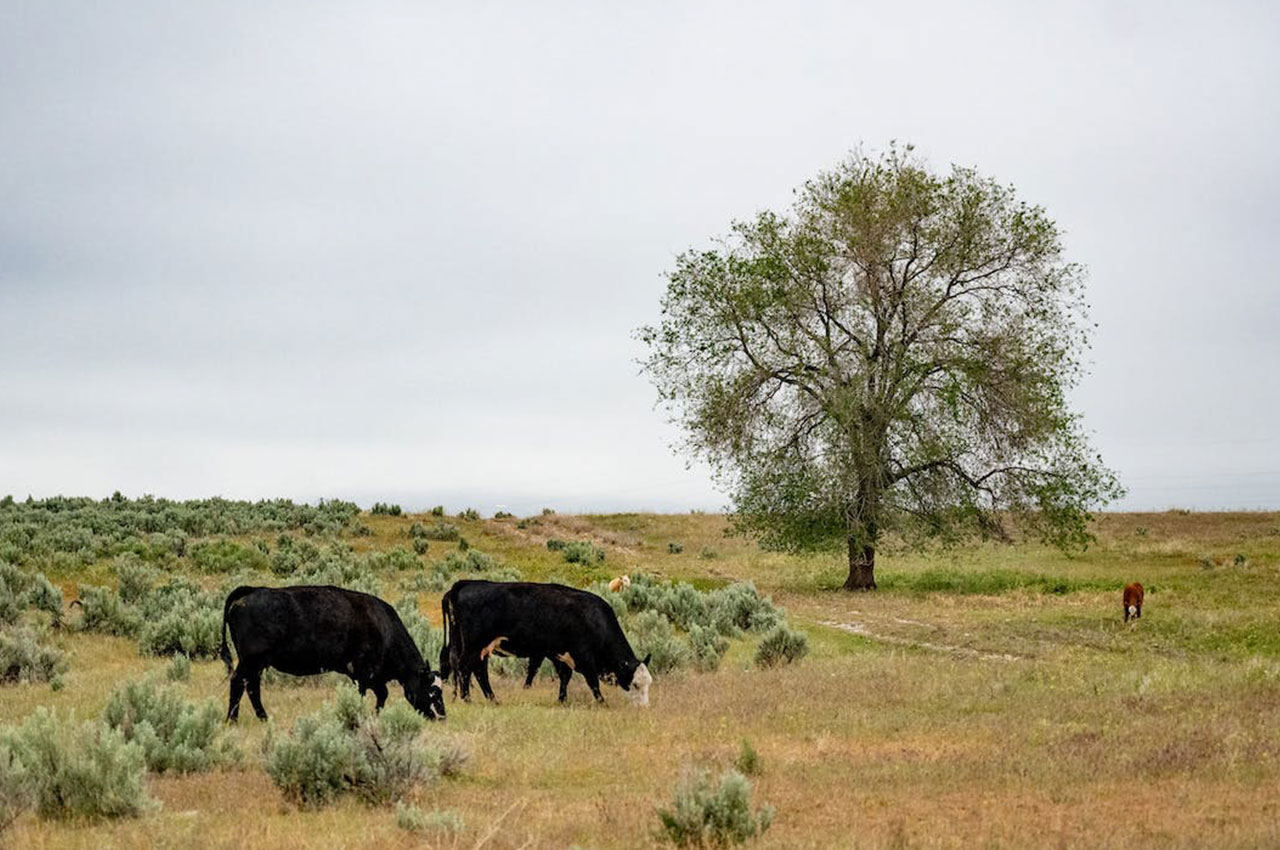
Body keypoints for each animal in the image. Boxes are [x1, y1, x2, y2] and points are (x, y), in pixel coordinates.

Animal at [225, 583, 450, 721]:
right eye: (433, 691)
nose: (442, 716)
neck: (384, 626)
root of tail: (251, 591)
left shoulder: (373, 676)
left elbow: (382, 695)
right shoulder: (364, 673)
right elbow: (366, 695)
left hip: (256, 664)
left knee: (251, 687)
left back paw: (262, 718)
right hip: (251, 661)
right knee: (239, 683)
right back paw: (233, 720)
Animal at [442, 578, 660, 701]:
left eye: (648, 684)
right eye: (635, 684)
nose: (644, 707)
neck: (594, 619)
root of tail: (465, 584)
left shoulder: (558, 654)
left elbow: (564, 677)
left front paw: (562, 700)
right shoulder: (584, 658)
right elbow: (592, 682)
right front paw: (602, 702)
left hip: (480, 647)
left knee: (478, 671)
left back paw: (492, 699)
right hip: (474, 645)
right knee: (465, 668)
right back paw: (467, 699)